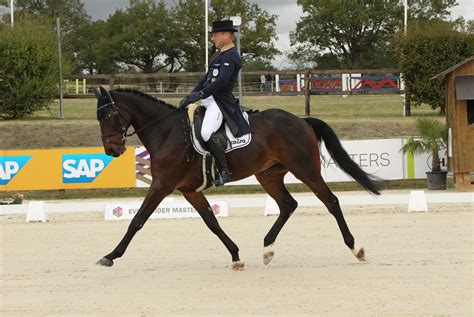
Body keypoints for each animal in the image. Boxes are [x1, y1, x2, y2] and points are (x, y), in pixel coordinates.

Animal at [94, 86, 380, 270]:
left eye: (107, 115)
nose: (112, 150)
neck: (165, 132)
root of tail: (301, 120)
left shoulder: (162, 185)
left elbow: (137, 220)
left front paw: (110, 255)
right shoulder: (190, 190)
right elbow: (212, 223)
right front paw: (235, 255)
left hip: (305, 169)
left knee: (331, 201)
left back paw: (356, 249)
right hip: (268, 174)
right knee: (288, 204)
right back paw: (267, 249)